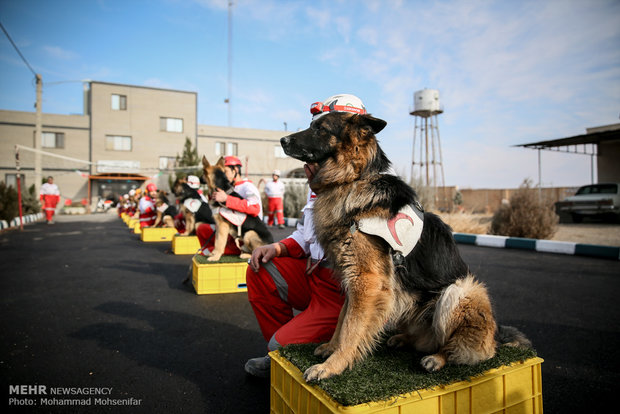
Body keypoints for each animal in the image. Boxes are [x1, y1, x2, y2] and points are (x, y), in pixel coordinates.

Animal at [280, 111, 528, 382]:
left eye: (320, 128)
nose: (282, 140)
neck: (354, 178)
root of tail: (496, 334)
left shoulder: (366, 281)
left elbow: (351, 327)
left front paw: (332, 365)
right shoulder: (358, 280)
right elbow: (343, 319)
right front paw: (331, 348)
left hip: (462, 291)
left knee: (457, 348)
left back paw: (436, 358)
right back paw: (402, 339)